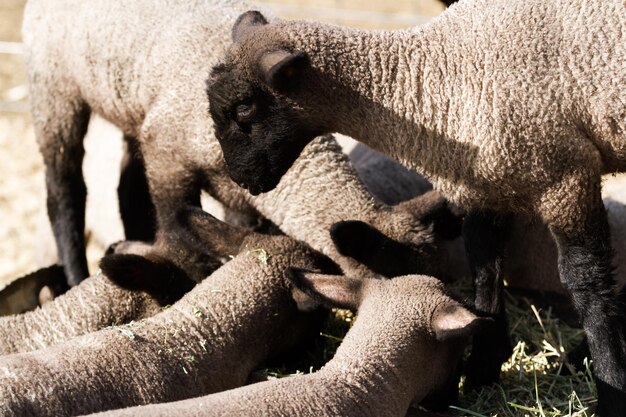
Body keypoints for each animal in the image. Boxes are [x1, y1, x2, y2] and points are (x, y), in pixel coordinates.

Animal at [22, 0, 456, 286]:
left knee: (126, 187)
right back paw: (75, 273)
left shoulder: (236, 187)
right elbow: (178, 230)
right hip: (53, 85)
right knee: (63, 190)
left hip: (130, 107)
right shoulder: (168, 157)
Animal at [207, 1, 624, 412]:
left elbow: (586, 283)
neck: (434, 73)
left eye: (244, 108)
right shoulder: (487, 183)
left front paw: (610, 384)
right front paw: (483, 365)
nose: (241, 178)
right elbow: (485, 267)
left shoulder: (565, 177)